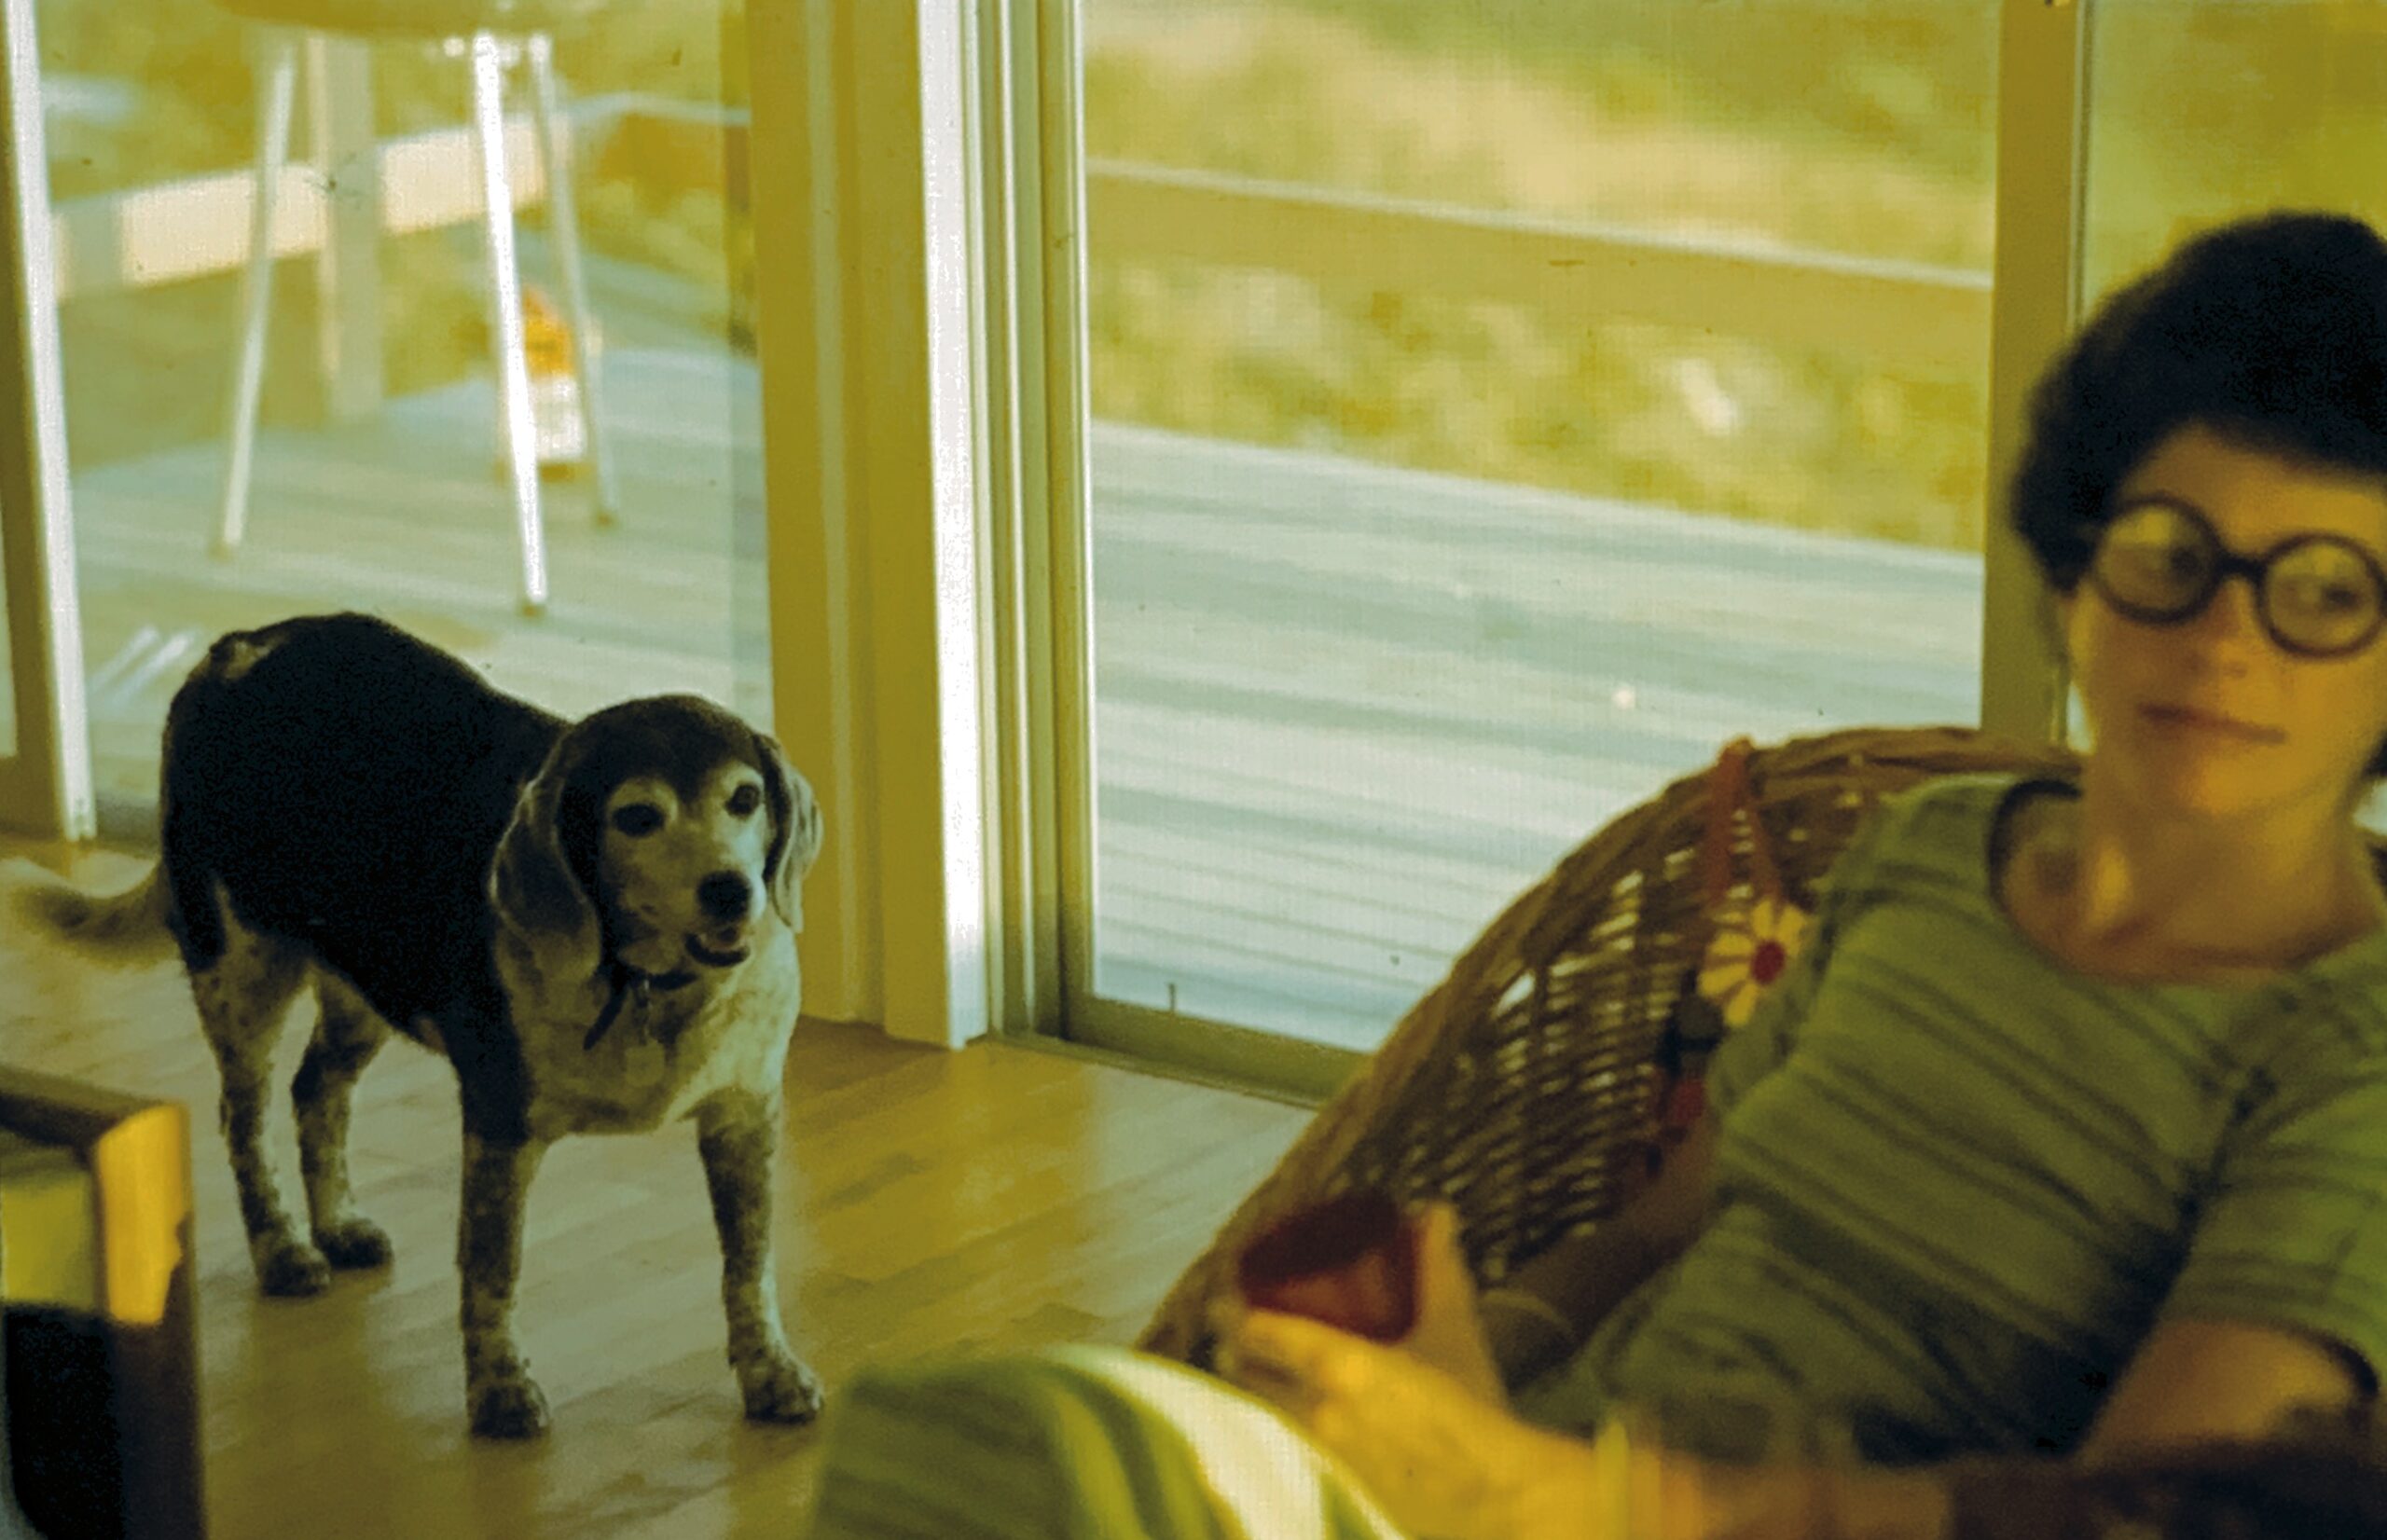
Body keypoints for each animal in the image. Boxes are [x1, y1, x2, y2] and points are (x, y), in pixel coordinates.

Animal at [8, 612, 825, 1438]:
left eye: (745, 798)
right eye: (638, 817)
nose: (731, 890)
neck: (648, 981)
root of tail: (235, 646)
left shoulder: (744, 1117)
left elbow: (749, 1266)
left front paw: (770, 1372)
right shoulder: (500, 1126)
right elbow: (494, 1266)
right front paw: (500, 1390)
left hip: (364, 986)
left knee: (315, 1092)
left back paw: (337, 1224)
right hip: (241, 974)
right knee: (244, 1122)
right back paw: (283, 1251)